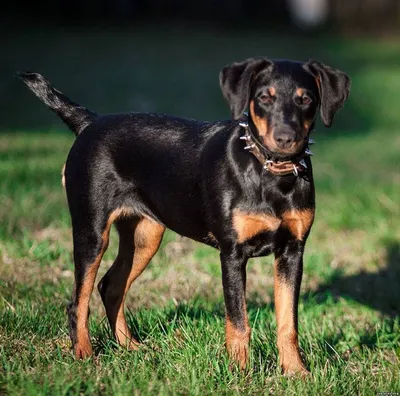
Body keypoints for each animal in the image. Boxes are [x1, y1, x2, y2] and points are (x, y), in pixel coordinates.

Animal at [18, 58, 350, 374]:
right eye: (264, 98)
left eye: (305, 99)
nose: (285, 138)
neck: (271, 174)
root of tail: (91, 123)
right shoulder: (232, 254)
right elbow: (238, 323)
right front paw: (240, 373)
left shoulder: (292, 251)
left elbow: (288, 323)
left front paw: (295, 371)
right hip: (91, 230)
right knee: (78, 301)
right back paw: (85, 355)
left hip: (145, 236)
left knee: (111, 287)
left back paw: (131, 348)